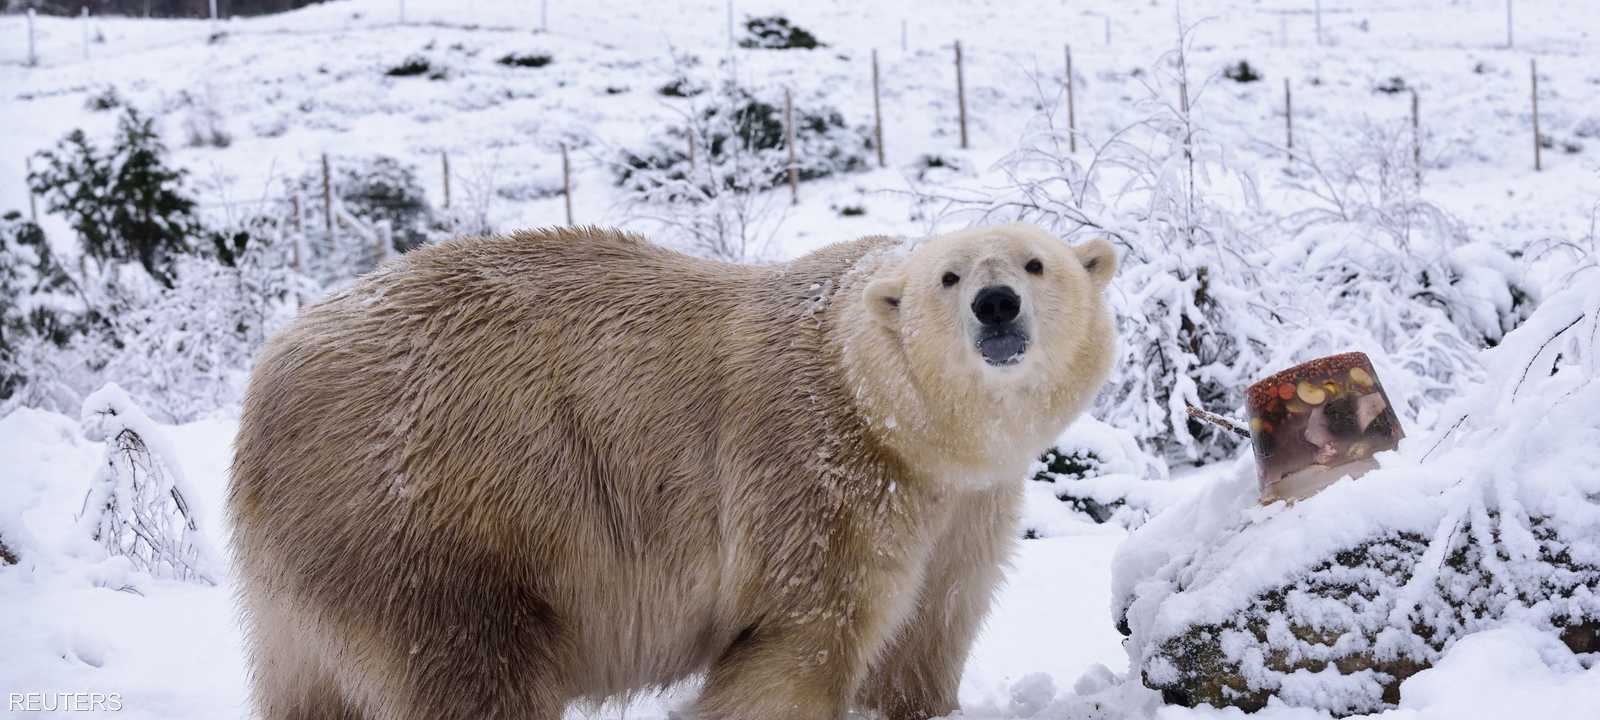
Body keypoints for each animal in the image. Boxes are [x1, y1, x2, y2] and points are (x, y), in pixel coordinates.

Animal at [232, 224, 1120, 720]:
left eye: (1036, 263)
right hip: (440, 521)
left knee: (308, 688)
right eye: (949, 275)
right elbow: (801, 644)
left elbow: (930, 629)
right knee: (473, 674)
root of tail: (271, 374)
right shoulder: (819, 474)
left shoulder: (968, 505)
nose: (996, 305)